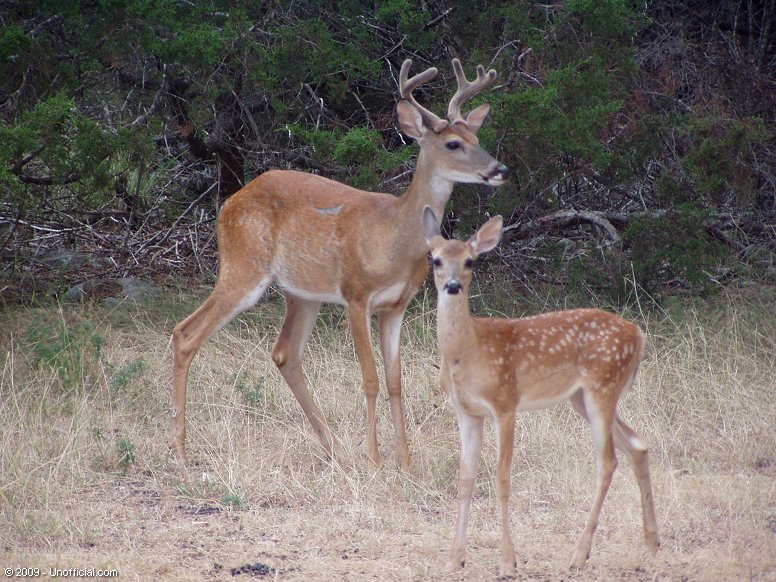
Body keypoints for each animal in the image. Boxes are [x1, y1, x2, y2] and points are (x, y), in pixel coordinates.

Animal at [170, 57, 510, 472]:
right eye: (453, 143)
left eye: (477, 139)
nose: (499, 170)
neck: (394, 237)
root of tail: (227, 205)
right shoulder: (356, 294)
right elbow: (370, 377)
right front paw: (375, 458)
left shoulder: (397, 306)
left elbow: (395, 381)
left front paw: (405, 460)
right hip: (243, 266)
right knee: (186, 334)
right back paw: (180, 449)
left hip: (303, 293)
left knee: (284, 353)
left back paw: (333, 447)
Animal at [422, 208, 656, 576]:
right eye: (436, 260)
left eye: (470, 261)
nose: (453, 286)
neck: (469, 351)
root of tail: (638, 334)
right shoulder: (466, 411)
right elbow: (465, 479)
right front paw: (454, 558)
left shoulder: (505, 402)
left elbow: (502, 478)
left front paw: (508, 561)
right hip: (583, 397)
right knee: (637, 444)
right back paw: (652, 543)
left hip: (602, 385)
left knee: (608, 460)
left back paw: (579, 554)